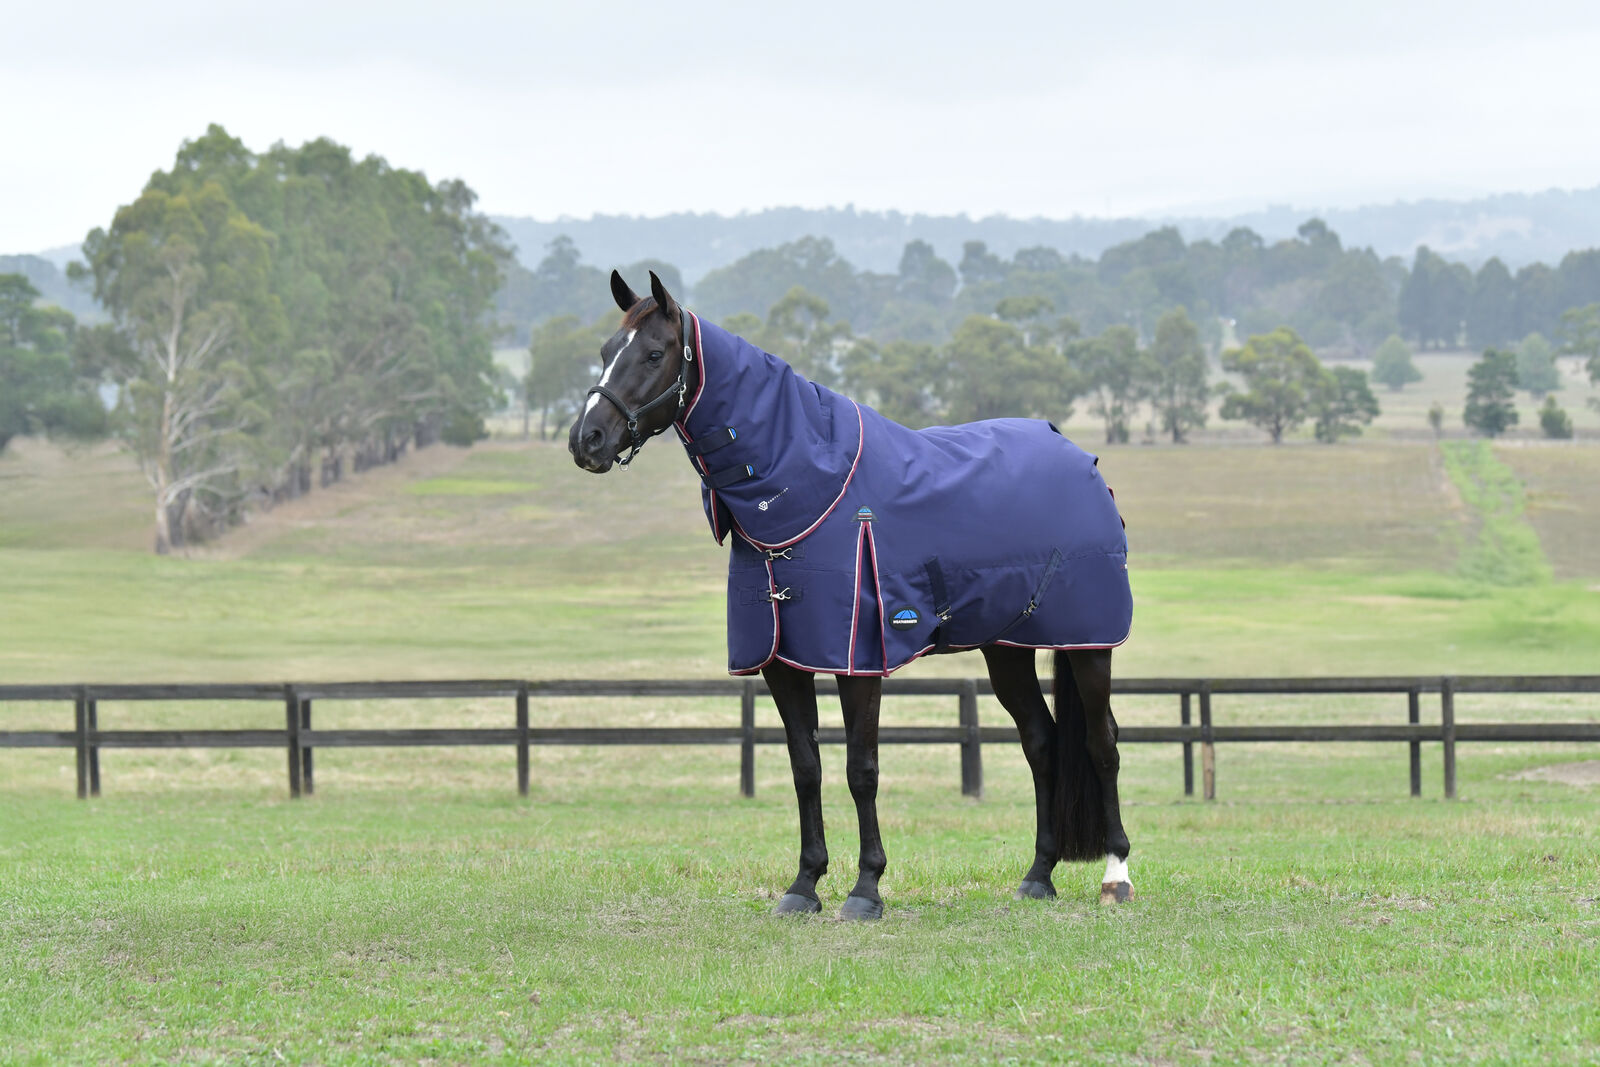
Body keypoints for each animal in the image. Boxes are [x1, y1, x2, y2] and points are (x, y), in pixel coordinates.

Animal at [569, 270, 1134, 919]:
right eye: (607, 351)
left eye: (654, 353)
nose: (586, 439)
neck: (809, 491)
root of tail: (1080, 458)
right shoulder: (783, 662)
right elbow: (805, 767)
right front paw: (804, 885)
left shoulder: (856, 660)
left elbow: (861, 768)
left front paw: (866, 889)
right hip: (1006, 649)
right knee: (1041, 742)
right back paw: (1038, 875)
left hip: (1089, 643)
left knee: (1102, 742)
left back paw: (1116, 874)